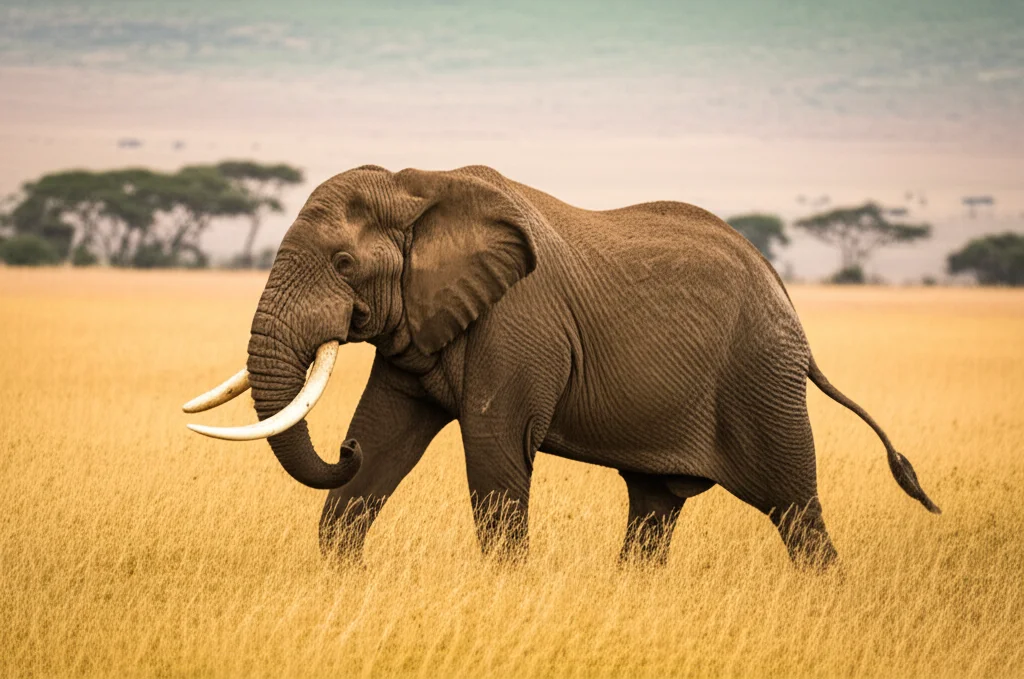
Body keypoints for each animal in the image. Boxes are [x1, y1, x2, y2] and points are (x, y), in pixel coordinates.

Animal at [183, 164, 940, 568]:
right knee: (654, 509)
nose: (340, 449)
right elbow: (388, 437)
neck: (420, 183)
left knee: (795, 509)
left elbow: (494, 450)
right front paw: (347, 573)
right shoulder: (421, 318)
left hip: (761, 379)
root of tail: (789, 302)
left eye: (343, 263)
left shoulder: (519, 322)